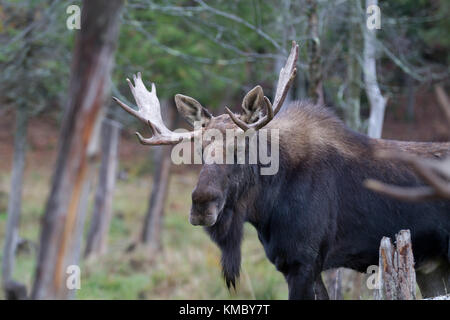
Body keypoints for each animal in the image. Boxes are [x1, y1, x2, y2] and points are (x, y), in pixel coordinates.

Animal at [113, 41, 450, 298]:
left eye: (242, 147)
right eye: (201, 150)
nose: (201, 205)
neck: (265, 208)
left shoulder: (302, 262)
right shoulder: (303, 265)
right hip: (429, 267)